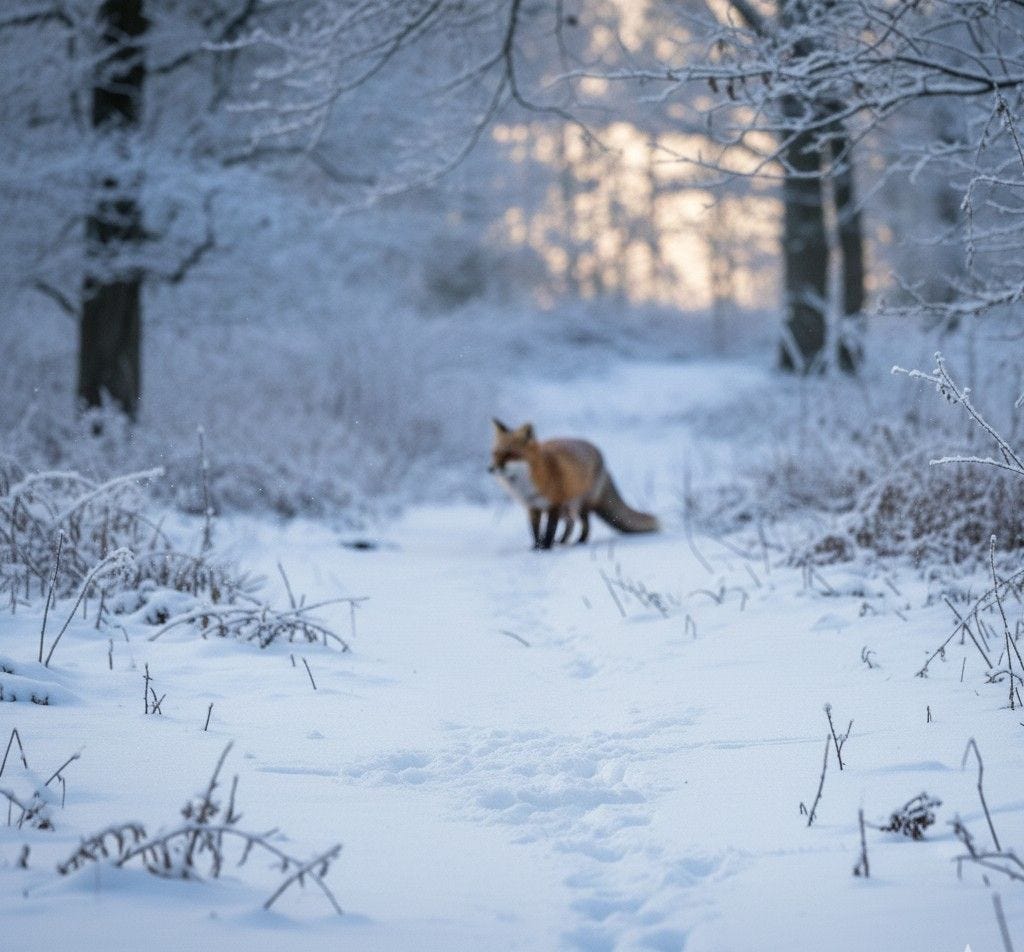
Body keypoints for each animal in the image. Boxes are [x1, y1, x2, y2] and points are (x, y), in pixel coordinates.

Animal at [489, 418, 659, 549]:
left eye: (510, 454)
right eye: (495, 454)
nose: (490, 469)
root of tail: (602, 458)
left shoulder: (554, 505)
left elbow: (549, 530)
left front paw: (546, 548)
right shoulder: (533, 508)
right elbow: (535, 531)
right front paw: (536, 547)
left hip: (581, 504)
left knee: (585, 524)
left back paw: (580, 541)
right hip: (567, 508)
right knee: (571, 524)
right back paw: (563, 541)